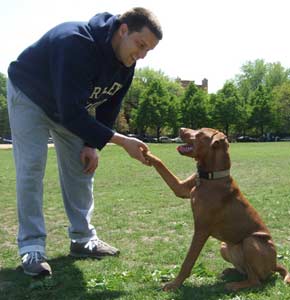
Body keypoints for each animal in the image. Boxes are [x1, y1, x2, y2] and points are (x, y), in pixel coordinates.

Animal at [144, 126, 288, 290]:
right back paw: (230, 272)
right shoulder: (180, 188)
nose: (181, 128)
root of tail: (274, 264)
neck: (210, 177)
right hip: (225, 246)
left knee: (256, 281)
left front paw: (174, 284)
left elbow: (188, 261)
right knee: (246, 271)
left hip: (250, 242)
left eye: (200, 133)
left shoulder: (201, 229)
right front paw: (144, 151)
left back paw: (234, 285)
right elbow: (160, 163)